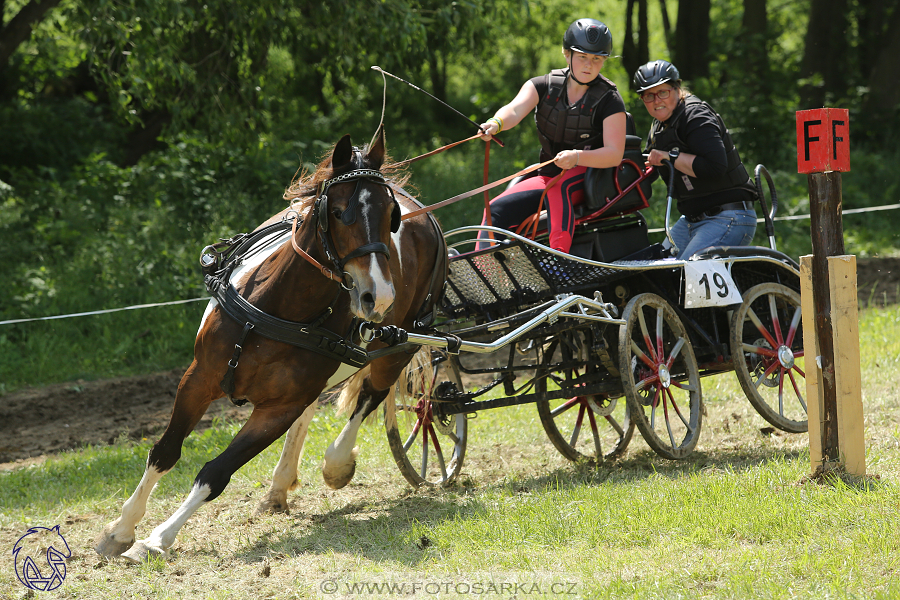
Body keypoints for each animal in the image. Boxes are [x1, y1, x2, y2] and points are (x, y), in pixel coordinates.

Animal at [94, 127, 446, 564]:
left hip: (400, 347)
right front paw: (122, 529)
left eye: (390, 217)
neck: (279, 307)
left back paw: (337, 463)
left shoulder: (277, 409)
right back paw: (280, 486)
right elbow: (165, 451)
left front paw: (157, 538)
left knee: (371, 395)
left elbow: (215, 473)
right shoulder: (199, 378)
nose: (377, 297)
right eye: (337, 212)